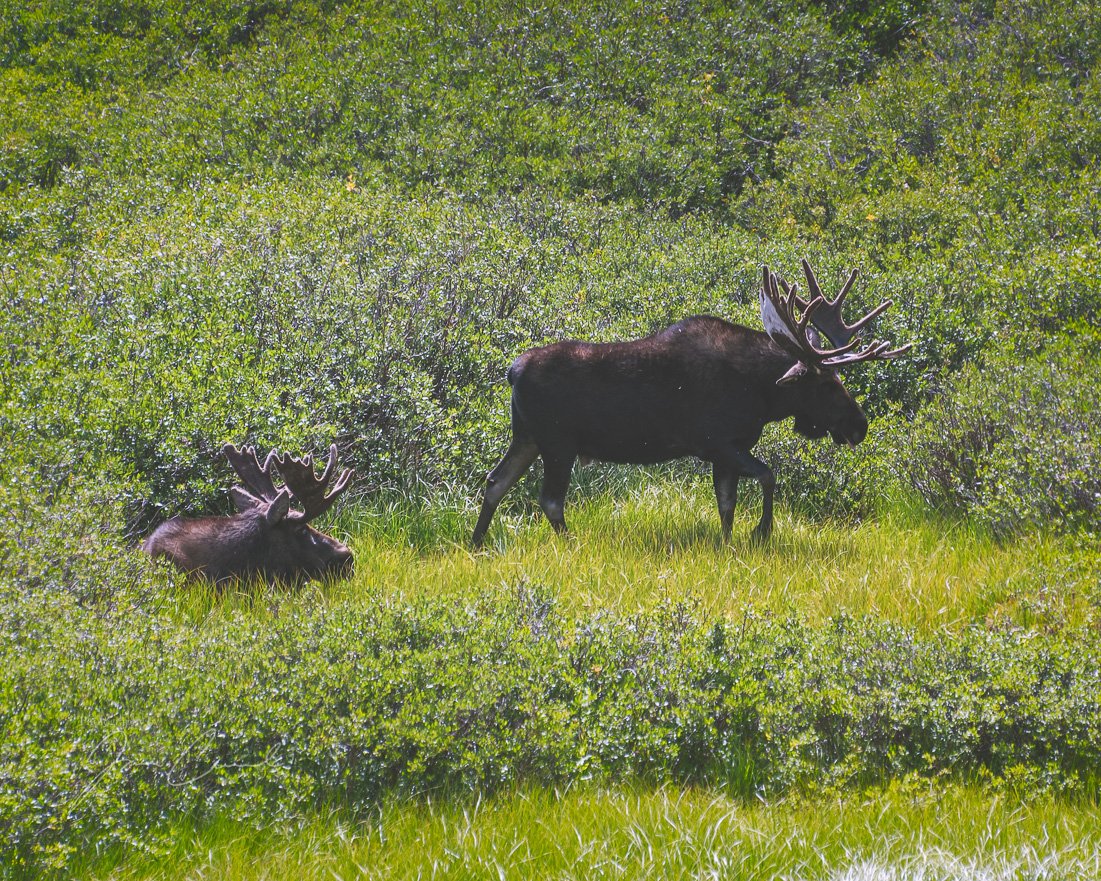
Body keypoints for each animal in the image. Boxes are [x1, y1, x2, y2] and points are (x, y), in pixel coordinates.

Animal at [471, 259, 911, 547]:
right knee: (549, 501)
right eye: (825, 384)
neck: (763, 391)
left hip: (527, 438)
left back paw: (476, 543)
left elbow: (727, 505)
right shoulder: (718, 443)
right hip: (558, 444)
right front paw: (762, 532)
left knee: (495, 482)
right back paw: (571, 544)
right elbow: (767, 477)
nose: (859, 425)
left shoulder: (727, 451)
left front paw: (728, 544)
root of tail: (512, 371)